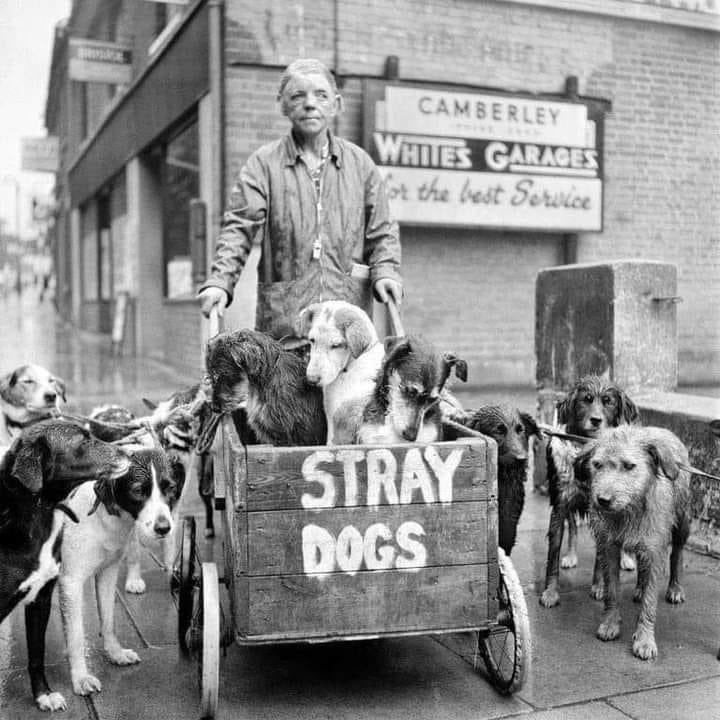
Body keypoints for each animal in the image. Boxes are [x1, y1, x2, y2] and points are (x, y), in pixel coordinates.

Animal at [0, 420, 131, 712]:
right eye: (83, 441)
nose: (128, 453)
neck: (37, 510)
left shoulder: (40, 599)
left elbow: (36, 657)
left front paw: (43, 695)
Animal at [572, 424, 692, 660]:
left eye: (629, 466)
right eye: (597, 465)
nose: (603, 500)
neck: (630, 510)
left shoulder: (655, 551)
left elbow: (650, 601)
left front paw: (644, 639)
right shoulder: (609, 546)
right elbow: (612, 590)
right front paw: (610, 623)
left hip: (682, 522)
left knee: (677, 553)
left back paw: (675, 587)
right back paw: (639, 588)